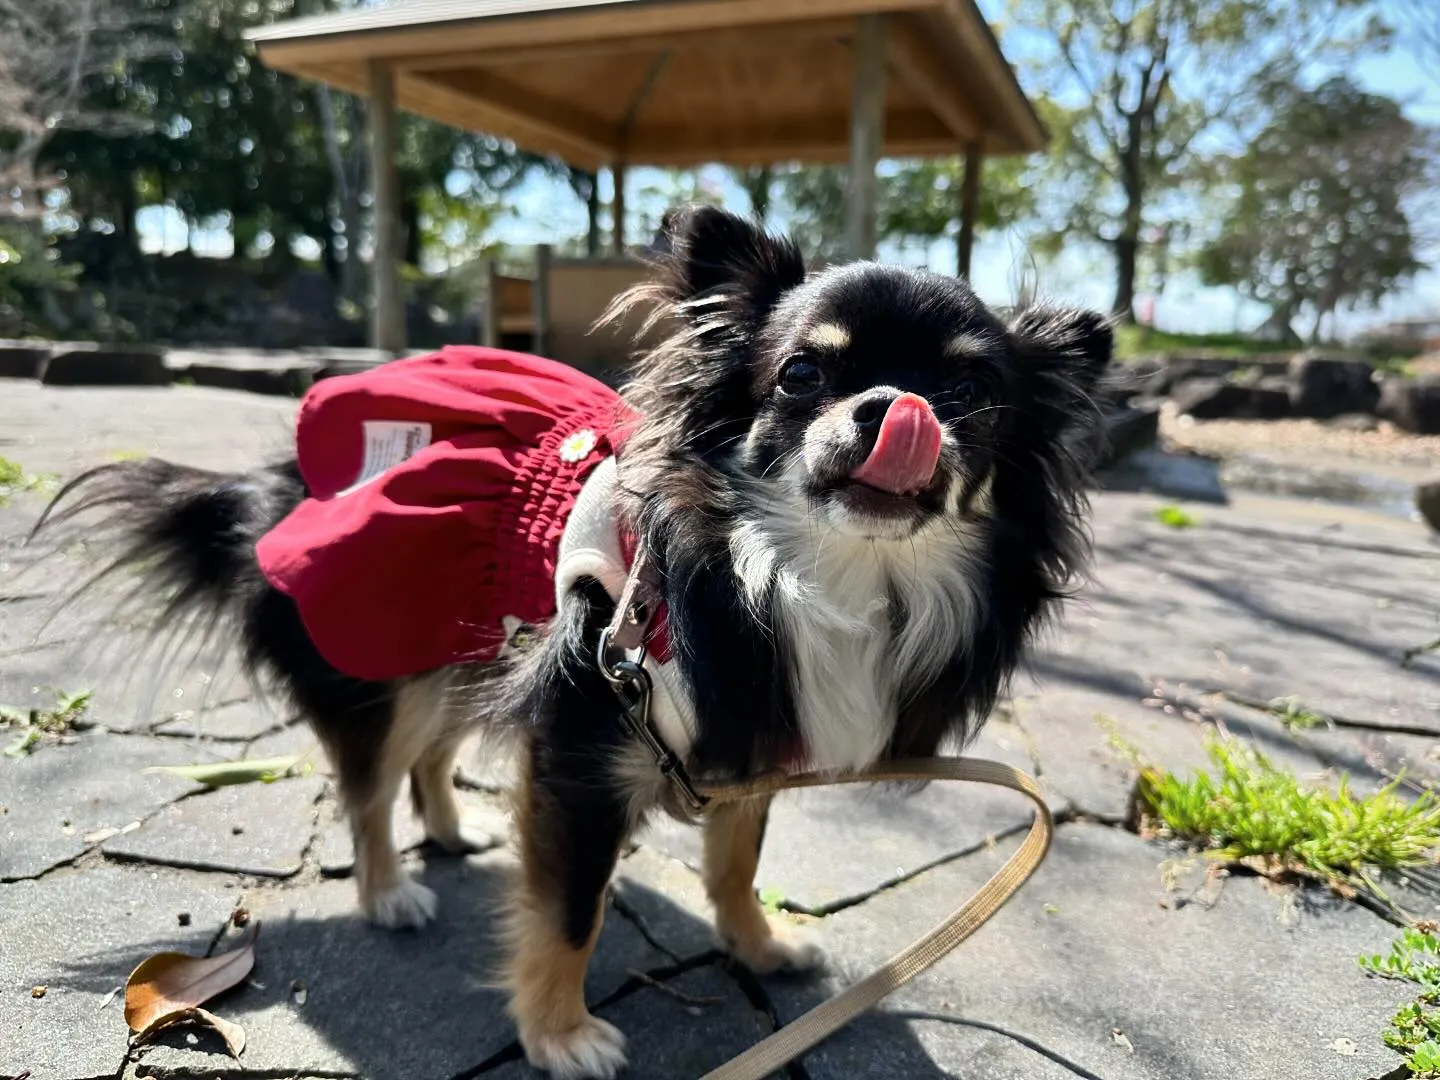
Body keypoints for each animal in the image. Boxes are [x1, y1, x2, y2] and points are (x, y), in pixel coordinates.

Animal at [36, 207, 1111, 1077]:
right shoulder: (584, 752)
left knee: (428, 756)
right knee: (371, 782)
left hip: (472, 648)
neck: (805, 575)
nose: (899, 408)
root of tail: (270, 480)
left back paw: (451, 831)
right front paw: (559, 1036)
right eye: (802, 374)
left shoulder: (745, 739)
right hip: (390, 653)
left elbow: (735, 860)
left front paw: (759, 947)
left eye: (972, 396)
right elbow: (570, 910)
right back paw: (390, 891)